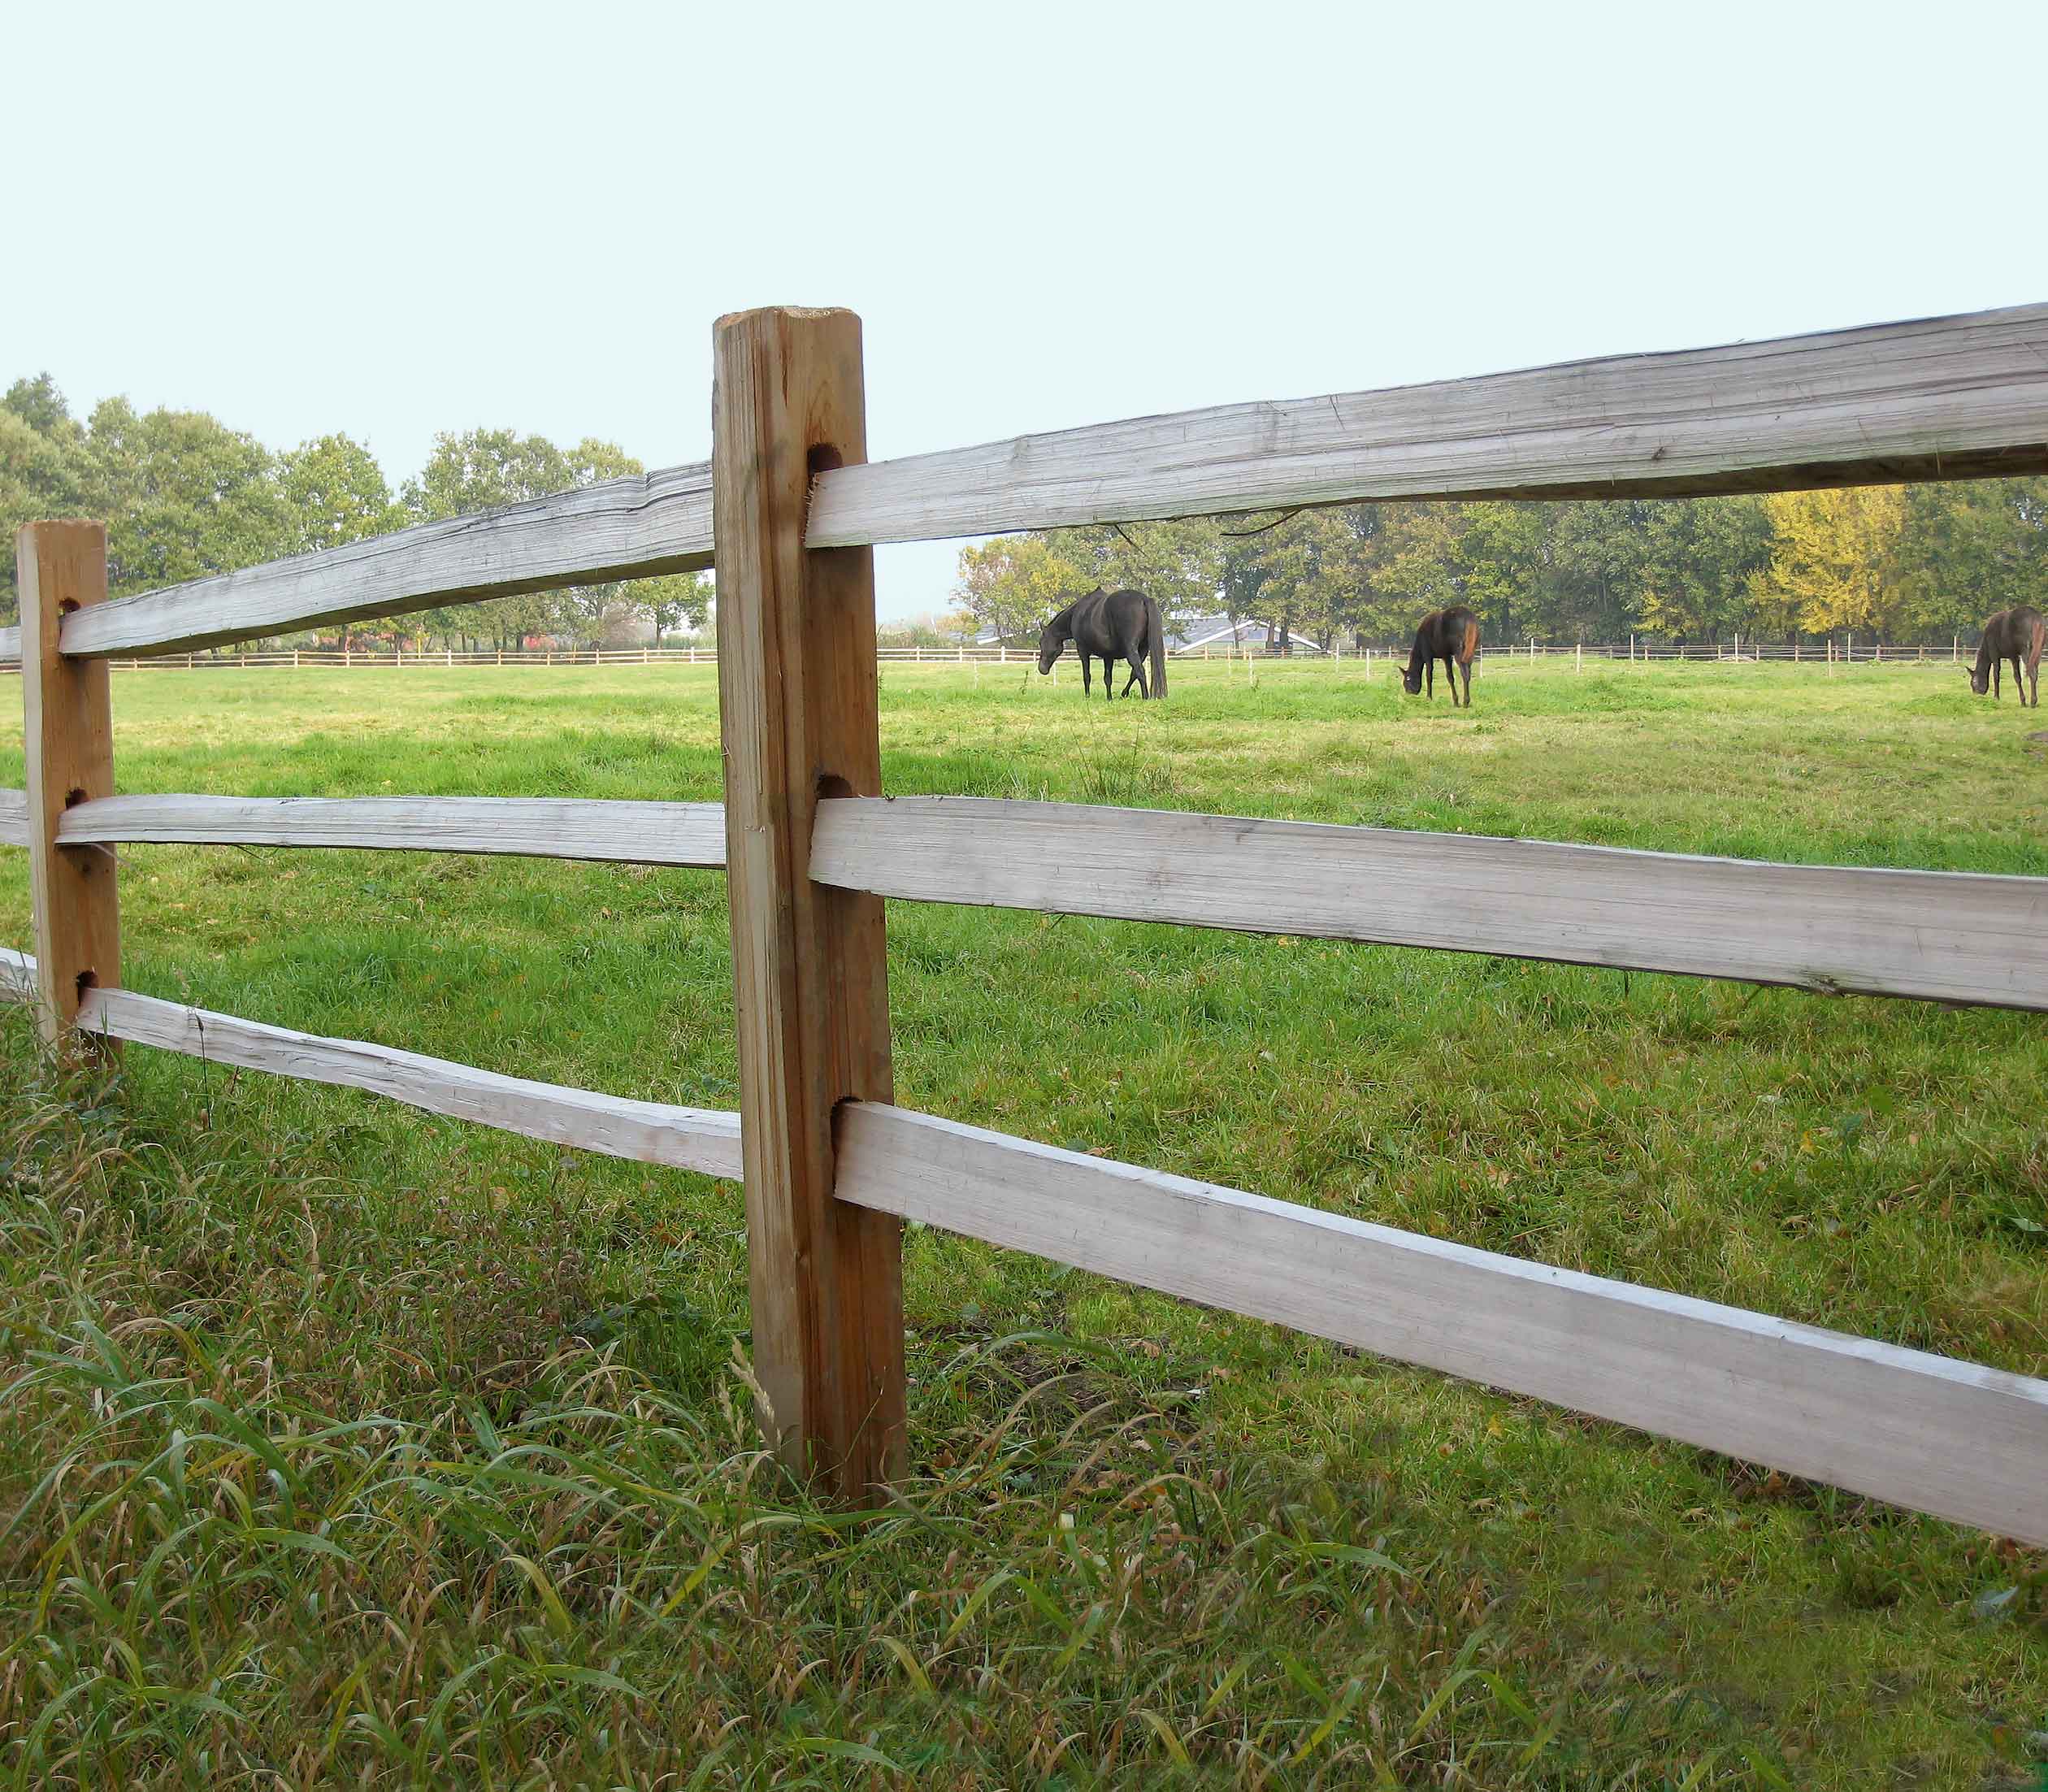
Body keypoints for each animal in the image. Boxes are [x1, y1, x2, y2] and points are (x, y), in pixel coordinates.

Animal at [1040, 589, 1171, 700]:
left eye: (1041, 643)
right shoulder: (1108, 656)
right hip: (1143, 650)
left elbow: (1087, 676)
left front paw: (1087, 697)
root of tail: (1144, 599)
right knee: (1134, 673)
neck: (1077, 614)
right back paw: (1124, 694)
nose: (1042, 669)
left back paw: (1145, 697)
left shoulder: (1083, 651)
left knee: (1139, 671)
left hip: (1131, 650)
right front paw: (1109, 698)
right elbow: (1108, 678)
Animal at [1966, 605, 2048, 712]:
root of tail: (2036, 618)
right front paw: (2023, 701)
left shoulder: (1995, 654)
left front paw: (1996, 697)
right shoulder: (2014, 656)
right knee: (2035, 673)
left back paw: (2033, 701)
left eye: (1973, 683)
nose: (1976, 695)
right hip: (2038, 652)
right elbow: (2017, 677)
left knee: (2032, 673)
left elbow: (1997, 675)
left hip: (2026, 651)